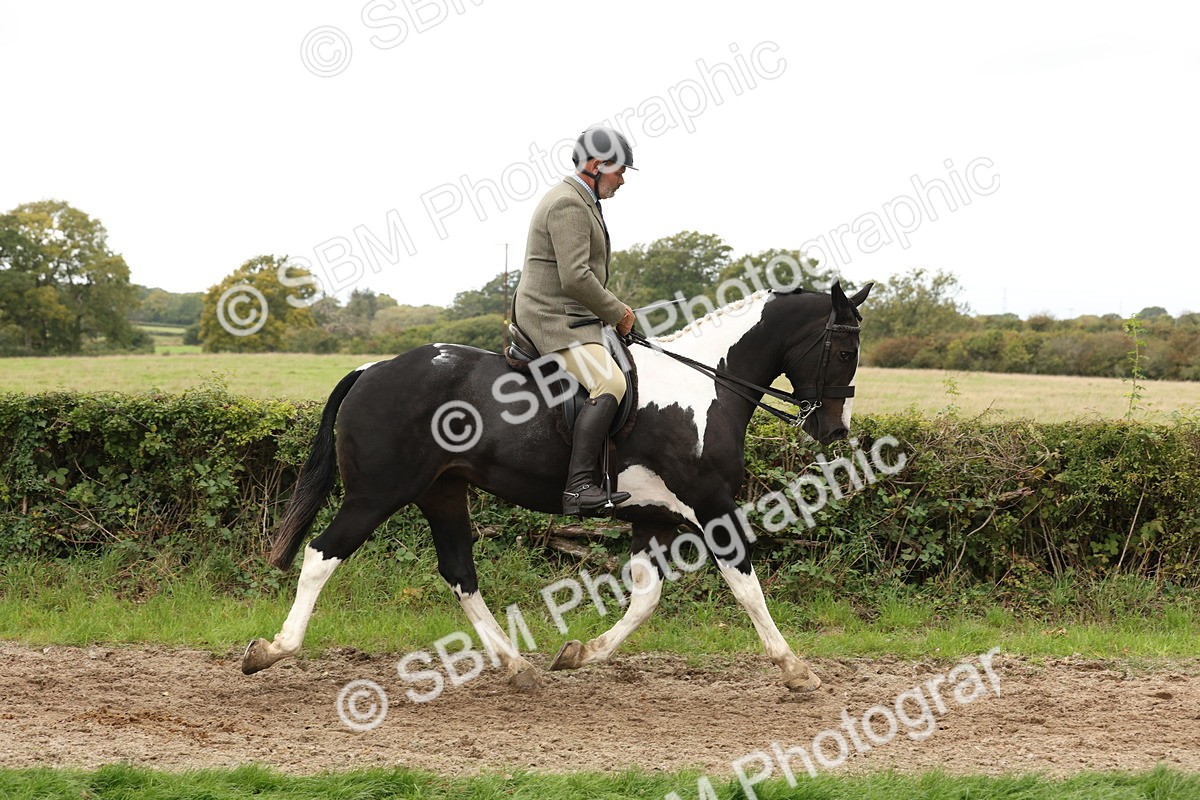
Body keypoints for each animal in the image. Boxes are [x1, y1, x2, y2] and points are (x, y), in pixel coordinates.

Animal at [242, 280, 871, 692]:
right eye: (844, 349)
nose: (834, 429)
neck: (703, 387)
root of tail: (371, 369)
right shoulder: (712, 506)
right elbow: (745, 587)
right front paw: (796, 670)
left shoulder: (653, 517)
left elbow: (646, 597)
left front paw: (578, 653)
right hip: (375, 496)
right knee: (322, 556)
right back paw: (270, 651)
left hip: (442, 493)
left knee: (459, 572)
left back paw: (517, 667)